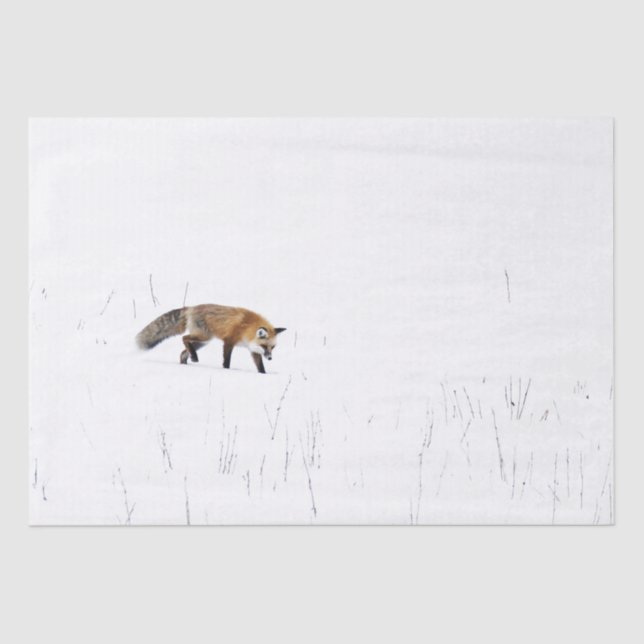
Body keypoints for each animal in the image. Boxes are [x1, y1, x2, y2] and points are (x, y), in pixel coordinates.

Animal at [136, 304, 286, 374]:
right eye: (264, 346)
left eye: (272, 347)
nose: (270, 358)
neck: (246, 328)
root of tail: (191, 308)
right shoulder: (229, 341)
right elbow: (226, 361)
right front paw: (226, 371)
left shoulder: (253, 349)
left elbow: (260, 366)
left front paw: (264, 375)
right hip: (204, 336)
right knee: (184, 338)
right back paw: (194, 358)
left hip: (203, 342)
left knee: (183, 352)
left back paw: (187, 362)